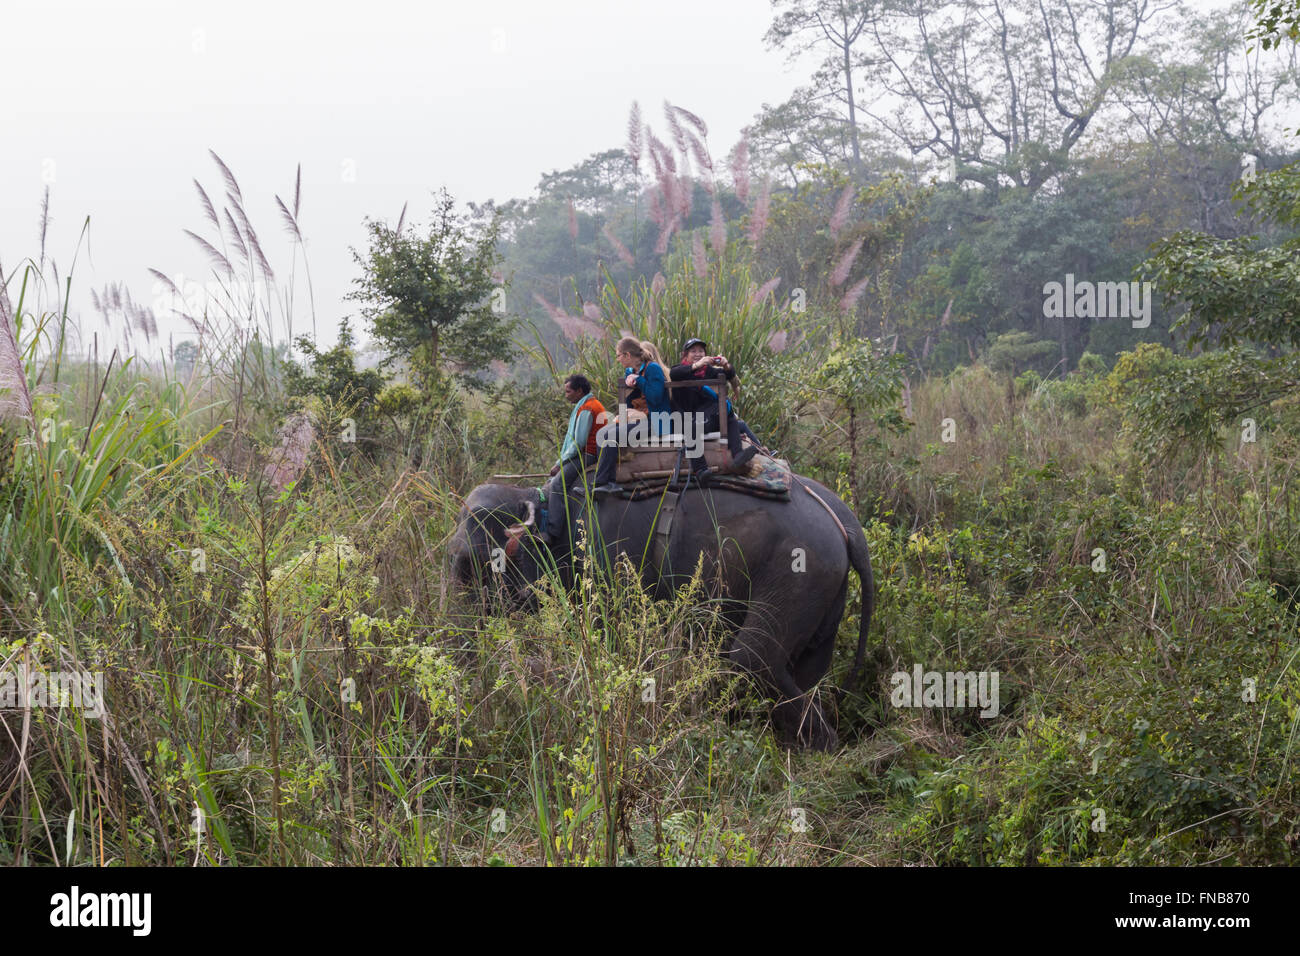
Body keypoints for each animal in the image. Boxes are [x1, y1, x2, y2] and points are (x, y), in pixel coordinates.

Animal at [446, 475, 874, 750]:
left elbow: (611, 637)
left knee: (752, 658)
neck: (540, 499)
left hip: (800, 568)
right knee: (808, 666)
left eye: (473, 566)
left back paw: (821, 750)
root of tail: (846, 522)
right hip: (825, 587)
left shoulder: (605, 559)